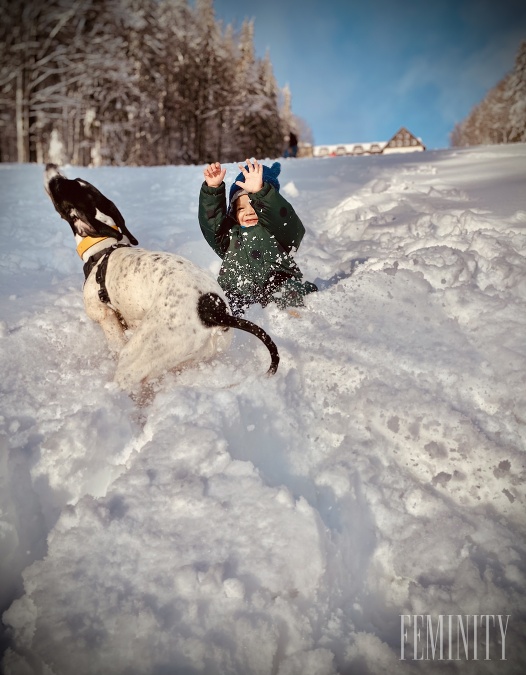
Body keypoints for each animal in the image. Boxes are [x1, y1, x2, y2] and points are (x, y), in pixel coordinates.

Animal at [44, 164, 280, 394]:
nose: (50, 165)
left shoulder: (106, 319)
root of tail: (214, 310)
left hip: (137, 355)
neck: (103, 248)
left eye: (60, 186)